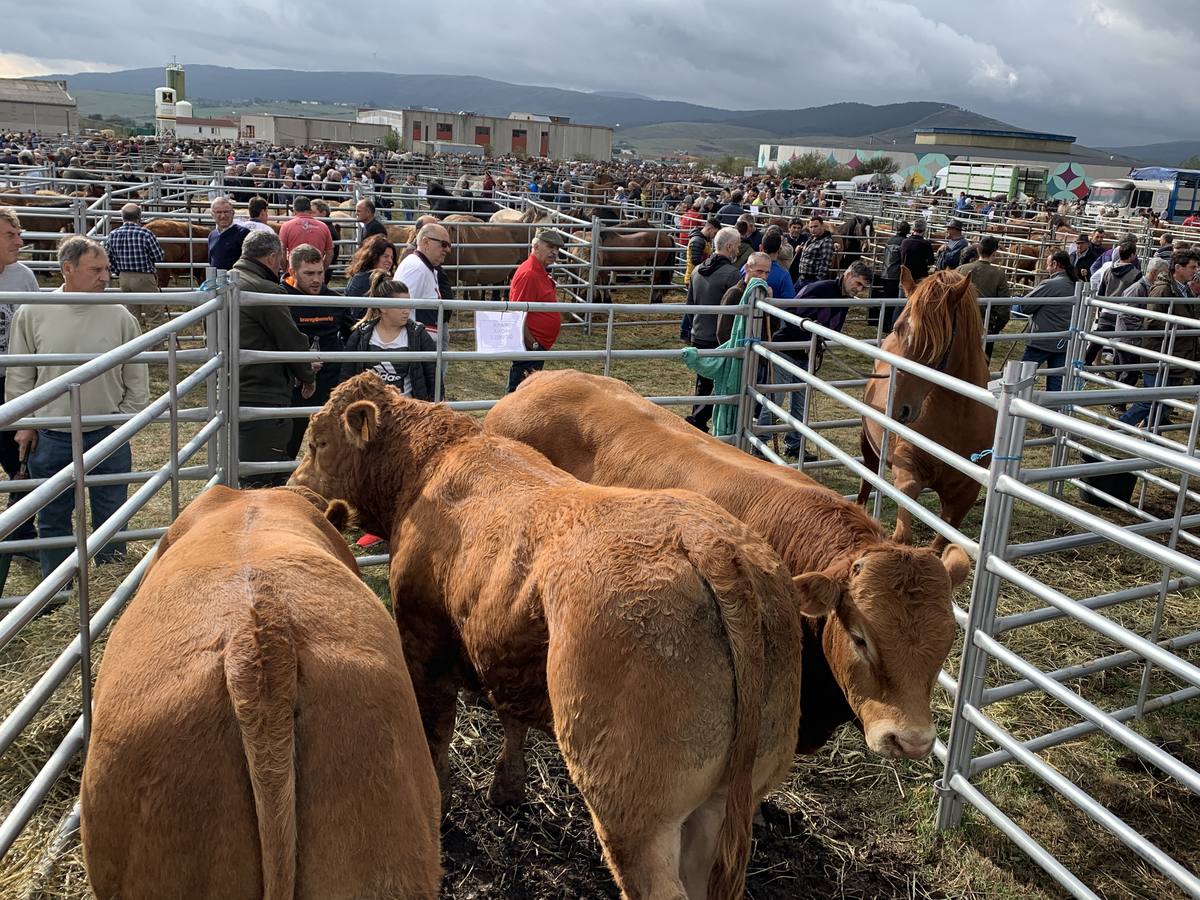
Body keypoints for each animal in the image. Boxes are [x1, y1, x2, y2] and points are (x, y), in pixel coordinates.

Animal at [291, 372, 816, 900]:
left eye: (317, 443)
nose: (295, 491)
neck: (429, 465)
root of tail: (711, 547)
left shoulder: (424, 644)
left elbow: (437, 736)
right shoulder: (505, 643)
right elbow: (512, 717)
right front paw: (507, 789)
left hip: (634, 809)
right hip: (723, 799)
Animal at [864, 267, 993, 549]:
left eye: (937, 342)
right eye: (898, 327)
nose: (897, 408)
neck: (958, 417)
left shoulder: (964, 494)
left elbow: (941, 543)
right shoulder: (907, 465)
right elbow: (904, 516)